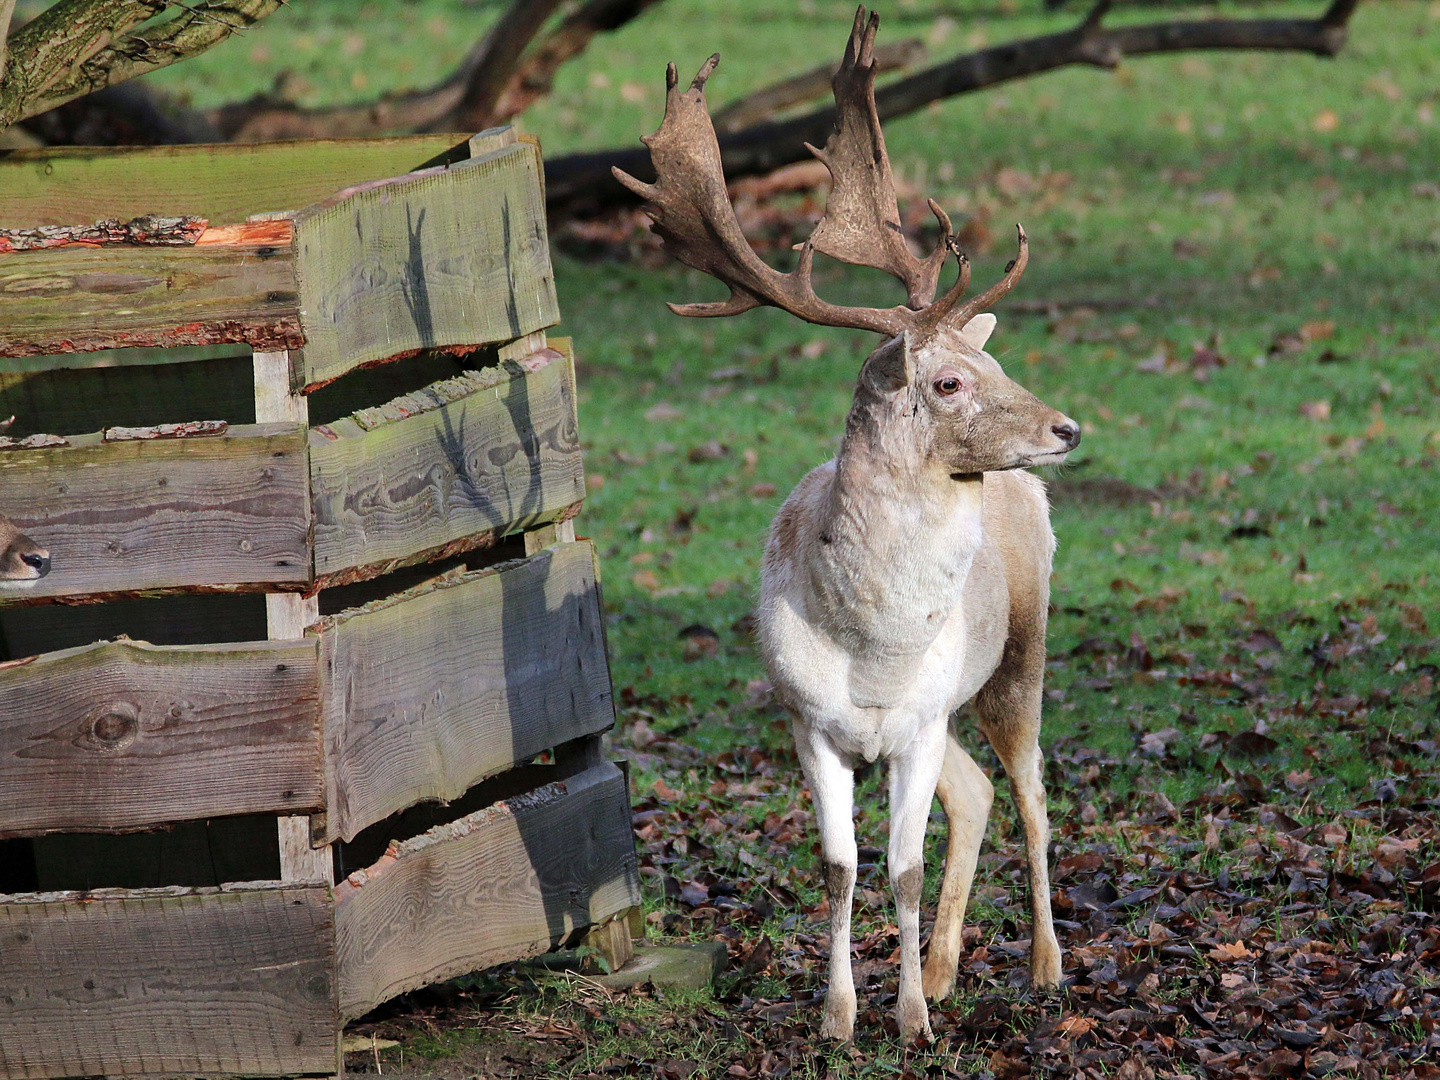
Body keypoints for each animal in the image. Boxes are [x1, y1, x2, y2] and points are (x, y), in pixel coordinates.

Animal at [619, 4, 1082, 1042]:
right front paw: (838, 1016)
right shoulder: (808, 722)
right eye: (947, 382)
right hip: (953, 706)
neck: (871, 653)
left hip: (1022, 647)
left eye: (992, 367)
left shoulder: (914, 723)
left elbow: (901, 869)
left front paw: (907, 1021)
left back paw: (1043, 968)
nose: (1066, 427)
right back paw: (949, 969)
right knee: (981, 793)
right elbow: (840, 867)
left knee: (1033, 791)